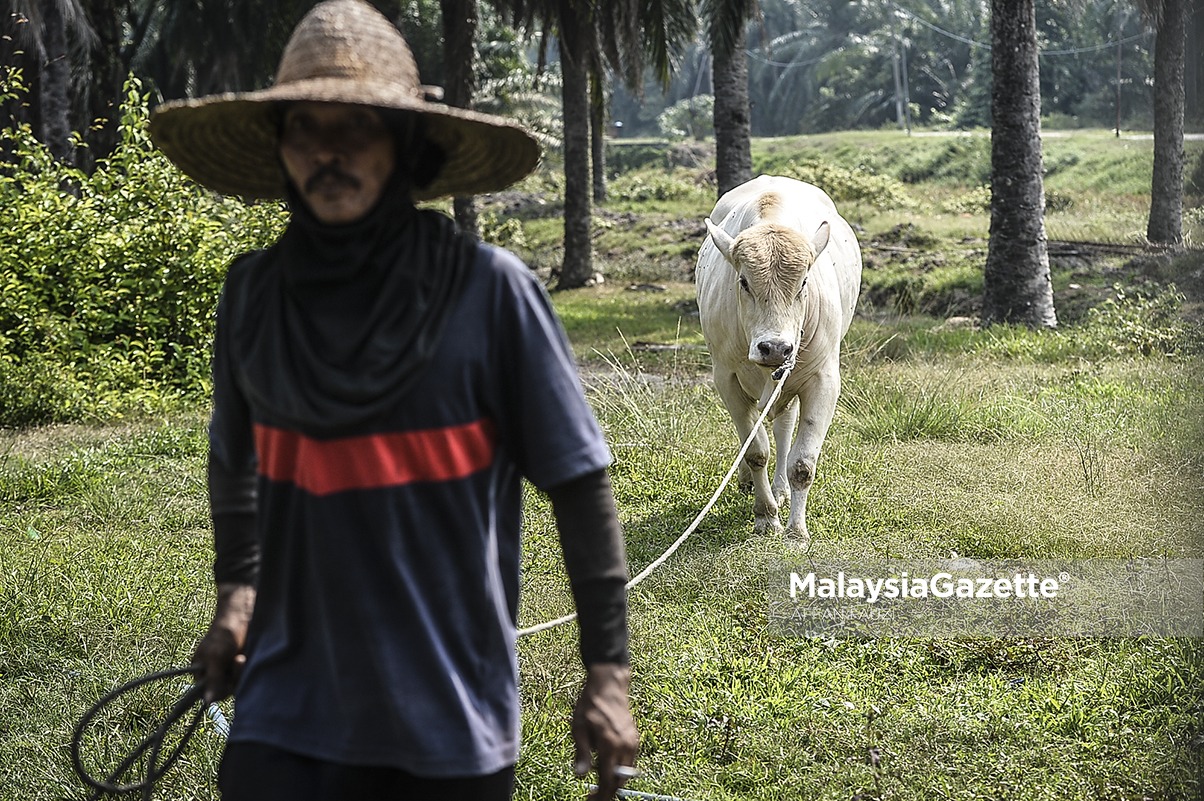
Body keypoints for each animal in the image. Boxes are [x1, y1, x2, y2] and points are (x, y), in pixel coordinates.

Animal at [698, 174, 857, 544]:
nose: (775, 348)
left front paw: (796, 531)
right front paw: (766, 517)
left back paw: (781, 489)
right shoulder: (726, 379)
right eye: (743, 281)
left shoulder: (823, 380)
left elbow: (802, 463)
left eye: (803, 282)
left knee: (784, 430)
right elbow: (756, 450)